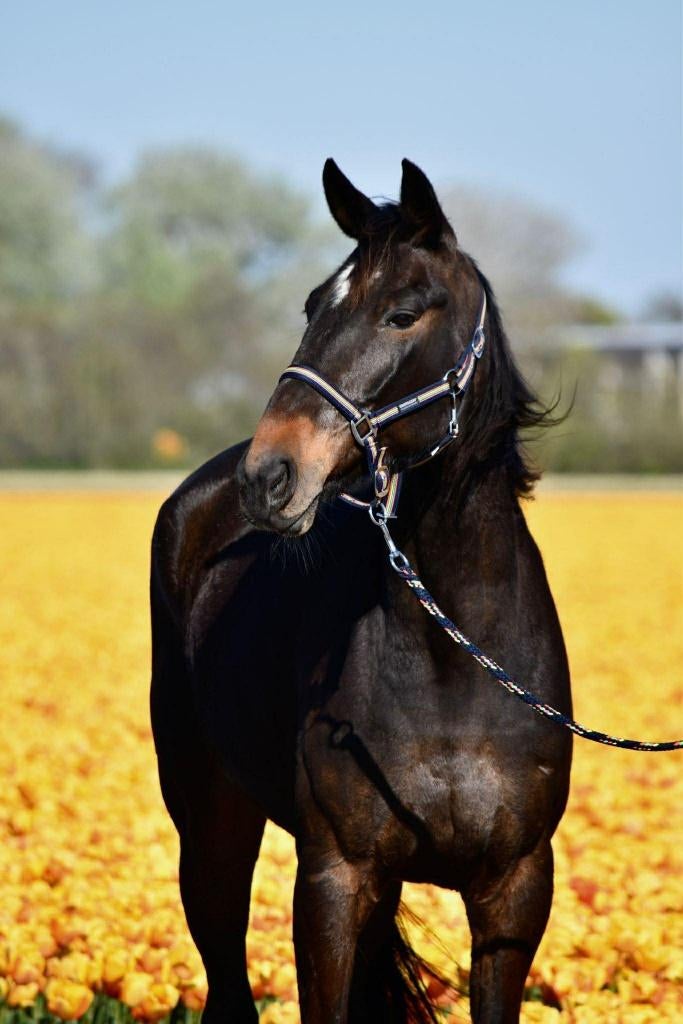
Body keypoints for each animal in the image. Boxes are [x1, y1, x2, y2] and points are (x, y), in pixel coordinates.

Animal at [150, 158, 573, 1024]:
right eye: (314, 305)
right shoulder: (334, 879)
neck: (456, 665)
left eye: (402, 313)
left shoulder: (514, 891)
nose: (270, 476)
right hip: (210, 825)